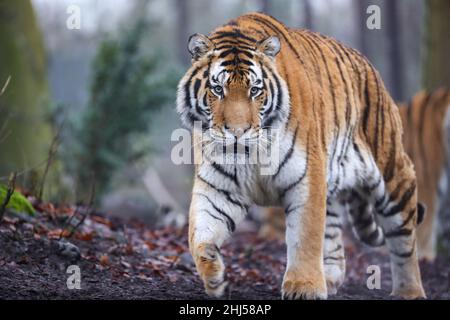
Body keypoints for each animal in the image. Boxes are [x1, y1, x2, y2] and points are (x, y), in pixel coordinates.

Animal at [176, 11, 426, 298]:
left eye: (254, 90)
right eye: (218, 89)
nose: (238, 132)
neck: (252, 152)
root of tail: (369, 66)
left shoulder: (307, 177)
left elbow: (305, 236)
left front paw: (304, 287)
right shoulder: (217, 187)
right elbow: (199, 233)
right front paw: (213, 275)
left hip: (393, 172)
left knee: (404, 240)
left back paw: (409, 291)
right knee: (334, 239)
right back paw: (330, 279)